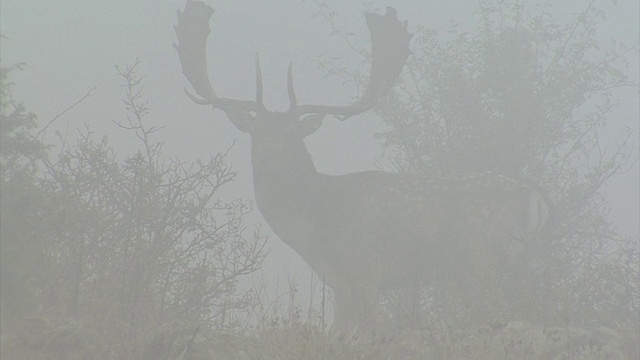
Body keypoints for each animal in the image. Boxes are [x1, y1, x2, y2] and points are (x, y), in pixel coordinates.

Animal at [175, 0, 552, 334]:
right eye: (257, 133)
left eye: (294, 135)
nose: (271, 157)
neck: (314, 230)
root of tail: (533, 196)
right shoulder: (338, 280)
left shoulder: (364, 270)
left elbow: (368, 331)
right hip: (514, 263)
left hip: (479, 256)